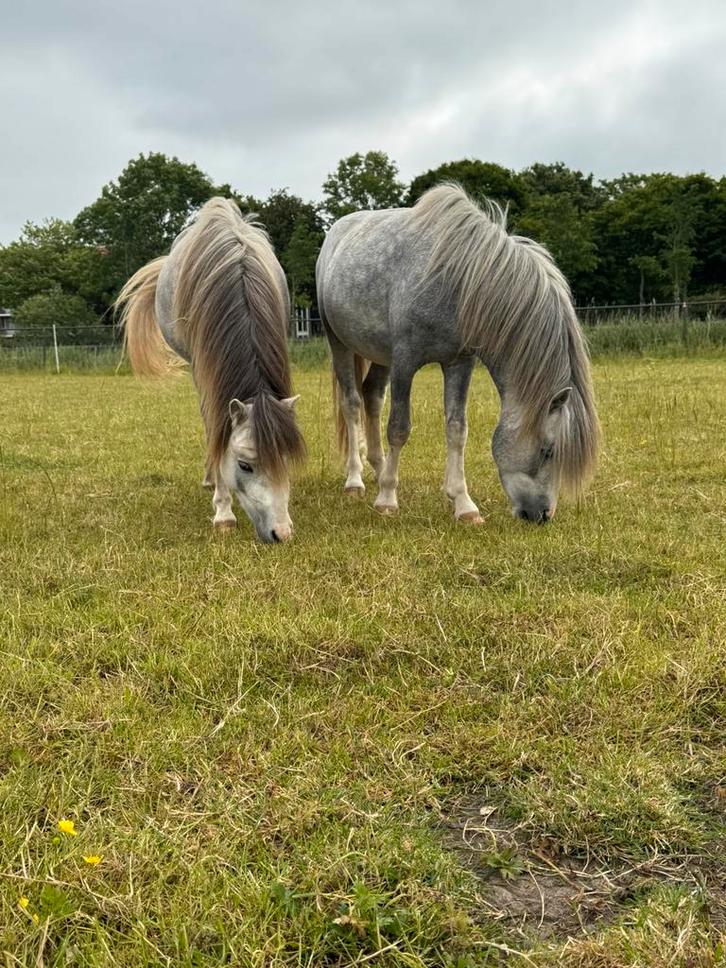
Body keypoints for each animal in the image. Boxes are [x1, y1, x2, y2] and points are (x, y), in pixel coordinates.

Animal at [317, 183, 600, 524]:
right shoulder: (405, 362)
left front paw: (463, 504)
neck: (458, 280)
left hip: (380, 355)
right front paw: (387, 500)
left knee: (372, 396)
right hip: (340, 344)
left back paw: (380, 467)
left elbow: (457, 430)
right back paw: (356, 479)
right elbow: (398, 428)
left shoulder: (459, 363)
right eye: (548, 451)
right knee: (352, 403)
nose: (542, 515)